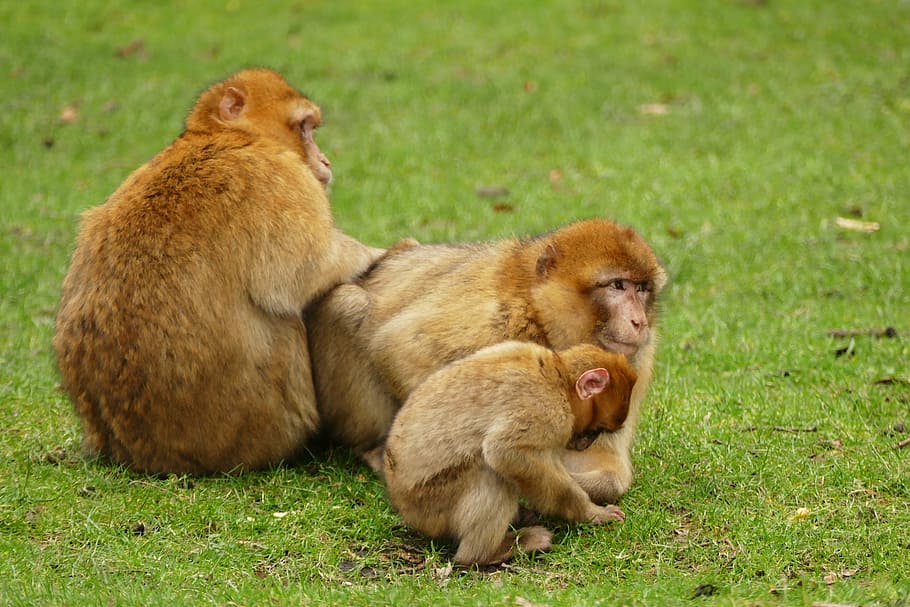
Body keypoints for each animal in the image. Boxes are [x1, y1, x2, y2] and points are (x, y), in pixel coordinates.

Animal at [53, 68, 381, 475]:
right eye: (305, 127)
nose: (325, 161)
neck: (223, 136)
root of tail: (138, 453)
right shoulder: (275, 177)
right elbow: (307, 269)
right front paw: (380, 252)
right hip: (261, 427)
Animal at [307, 218, 666, 503]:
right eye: (617, 285)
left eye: (642, 289)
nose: (639, 322)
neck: (540, 314)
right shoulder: (497, 315)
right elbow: (398, 348)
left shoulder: (631, 367)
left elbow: (609, 471)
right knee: (347, 305)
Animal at [382, 341, 636, 566]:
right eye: (597, 429)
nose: (585, 443)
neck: (558, 376)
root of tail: (402, 504)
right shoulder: (548, 409)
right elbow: (506, 453)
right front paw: (590, 512)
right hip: (431, 500)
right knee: (491, 473)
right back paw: (487, 553)